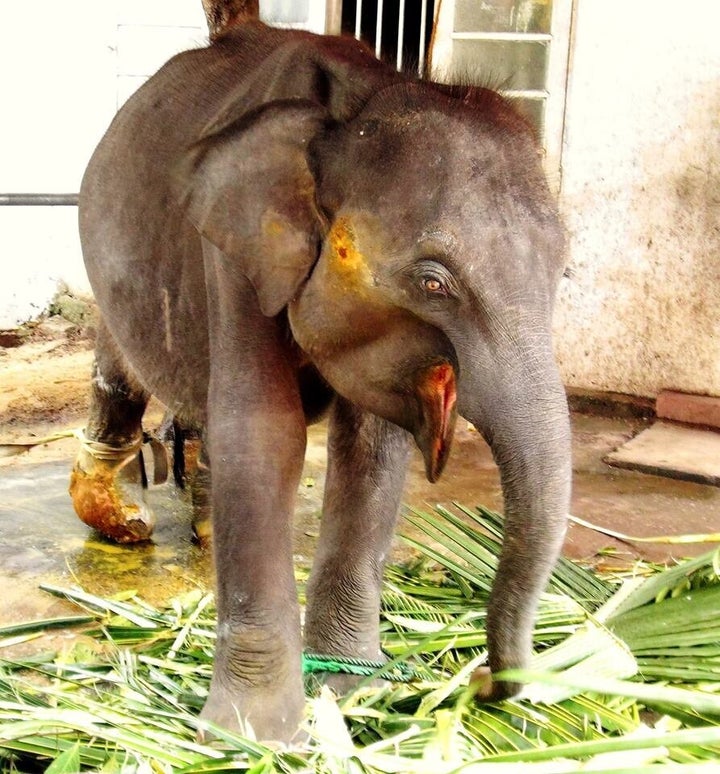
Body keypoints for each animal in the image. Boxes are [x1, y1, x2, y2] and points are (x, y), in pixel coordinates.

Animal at [70, 18, 572, 744]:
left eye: (564, 270)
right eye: (433, 282)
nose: (481, 683)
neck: (358, 102)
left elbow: (372, 449)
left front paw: (349, 689)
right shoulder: (234, 250)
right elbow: (264, 432)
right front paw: (252, 734)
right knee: (120, 377)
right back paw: (124, 523)